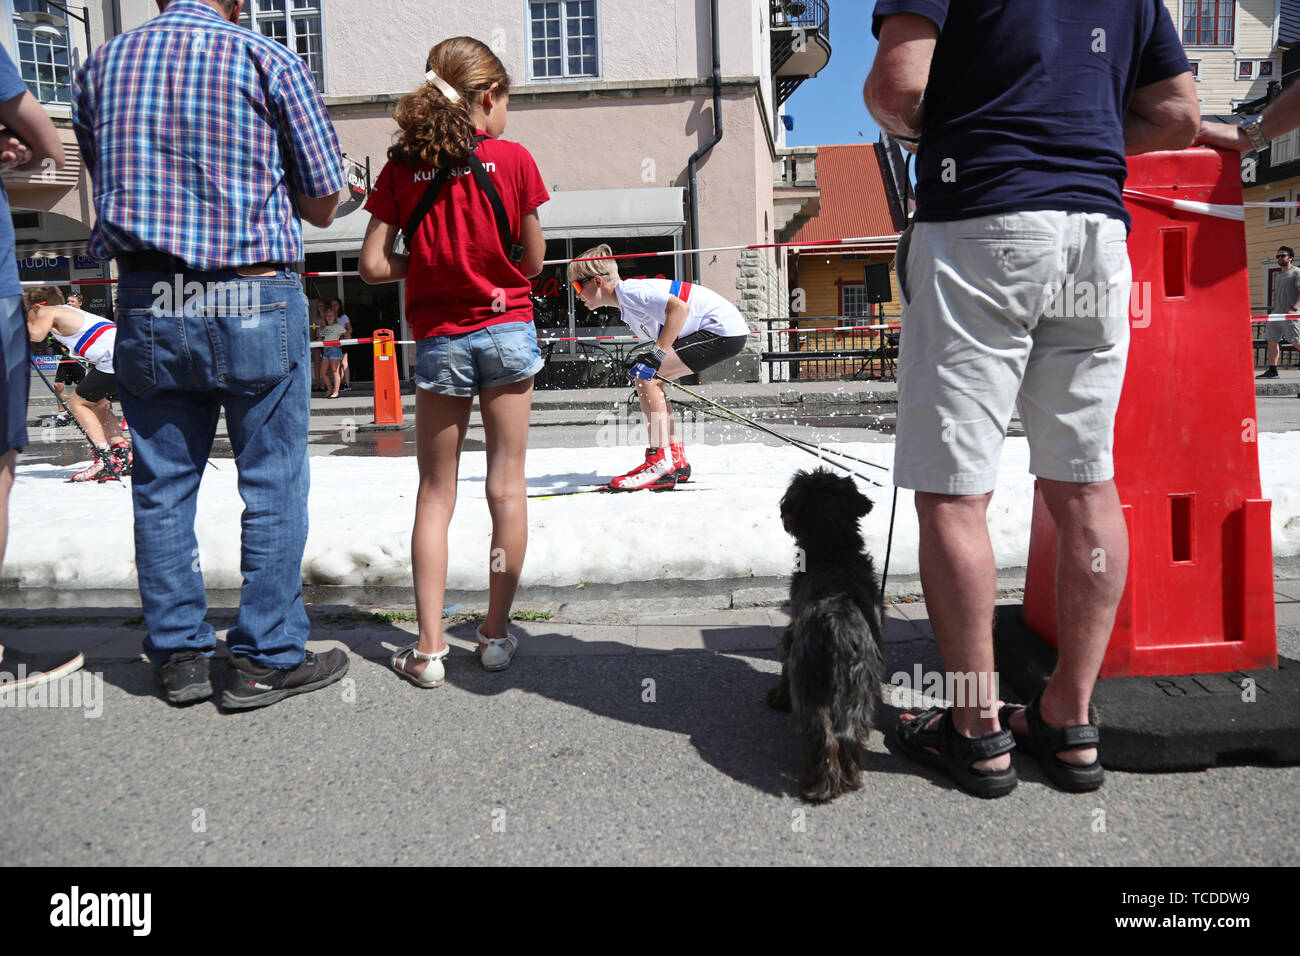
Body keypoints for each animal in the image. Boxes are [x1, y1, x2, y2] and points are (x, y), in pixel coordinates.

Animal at [764, 468, 889, 806]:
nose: (782, 510)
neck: (834, 547)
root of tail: (838, 629)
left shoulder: (792, 633)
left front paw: (777, 698)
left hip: (809, 682)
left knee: (823, 738)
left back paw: (820, 786)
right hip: (860, 688)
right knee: (849, 735)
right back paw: (850, 779)